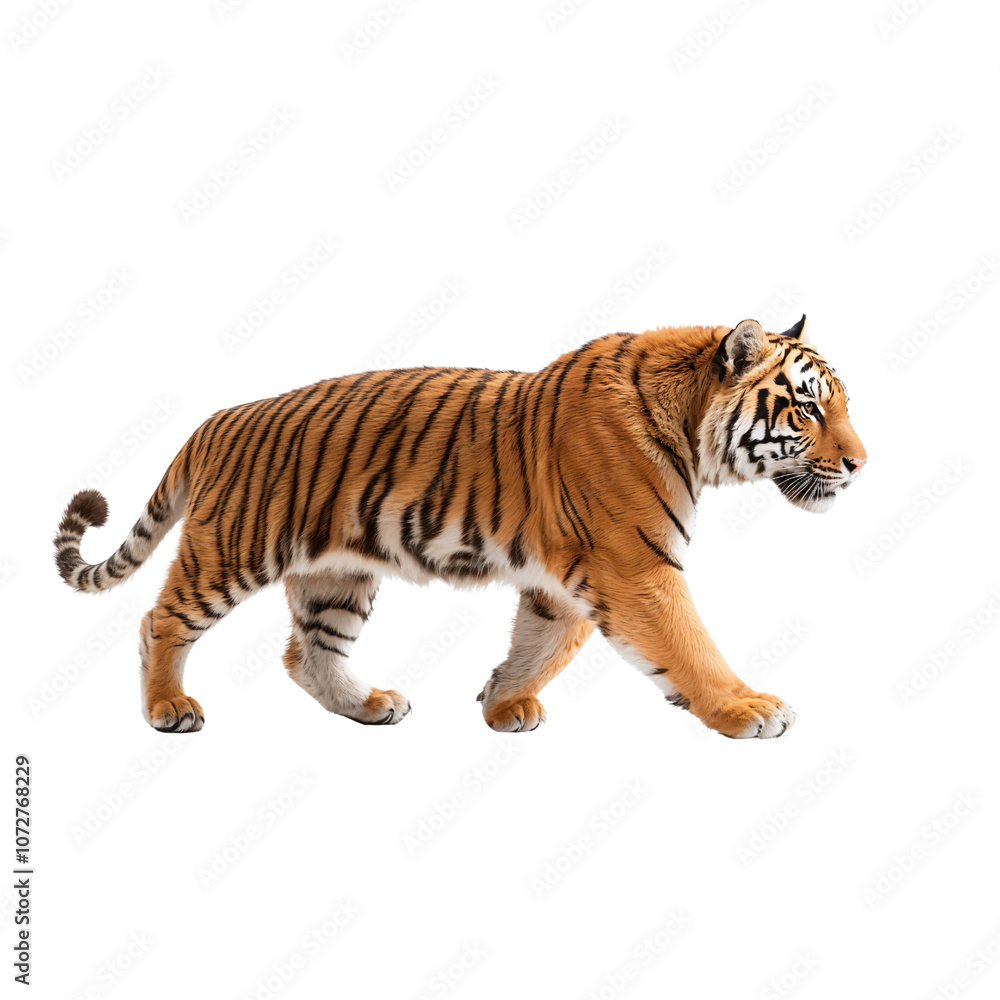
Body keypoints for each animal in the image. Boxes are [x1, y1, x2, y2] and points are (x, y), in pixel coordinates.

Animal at [54, 315, 865, 738]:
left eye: (841, 405)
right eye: (807, 407)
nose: (861, 464)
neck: (693, 430)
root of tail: (215, 420)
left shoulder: (570, 581)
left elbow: (542, 645)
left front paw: (504, 704)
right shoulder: (636, 567)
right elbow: (689, 648)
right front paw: (747, 708)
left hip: (336, 575)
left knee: (307, 653)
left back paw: (368, 706)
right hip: (231, 550)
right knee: (159, 621)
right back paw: (168, 707)